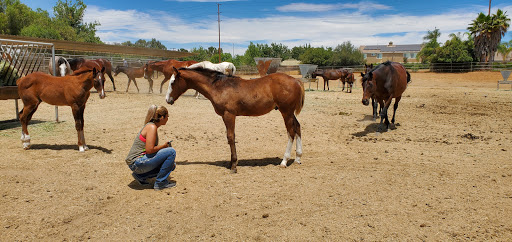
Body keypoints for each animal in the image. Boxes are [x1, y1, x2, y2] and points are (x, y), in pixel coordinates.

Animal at [167, 66, 304, 173]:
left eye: (173, 82)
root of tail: (296, 80)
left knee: (291, 132)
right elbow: (229, 138)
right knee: (298, 127)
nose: (168, 100)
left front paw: (233, 165)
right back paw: (298, 158)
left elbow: (231, 137)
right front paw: (231, 163)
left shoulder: (229, 115)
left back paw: (284, 161)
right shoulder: (224, 116)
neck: (219, 87)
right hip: (290, 113)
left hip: (286, 112)